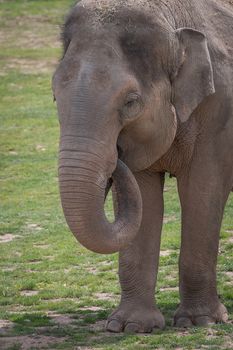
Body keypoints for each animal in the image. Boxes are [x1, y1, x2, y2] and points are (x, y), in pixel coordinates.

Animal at [52, 0, 233, 334]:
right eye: (55, 96)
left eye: (131, 102)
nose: (115, 155)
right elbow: (144, 198)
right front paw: (129, 326)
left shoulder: (220, 110)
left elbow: (203, 191)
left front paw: (200, 321)